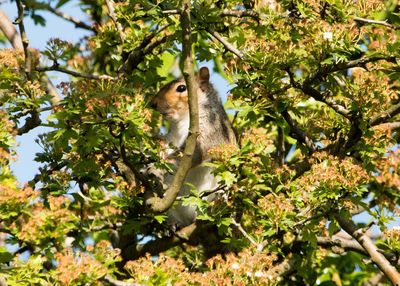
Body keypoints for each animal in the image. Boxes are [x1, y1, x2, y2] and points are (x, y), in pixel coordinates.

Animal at [152, 66, 236, 227]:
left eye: (181, 88)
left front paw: (159, 166)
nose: (153, 103)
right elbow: (165, 146)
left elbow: (196, 153)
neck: (182, 120)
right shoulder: (172, 137)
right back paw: (175, 224)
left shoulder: (211, 129)